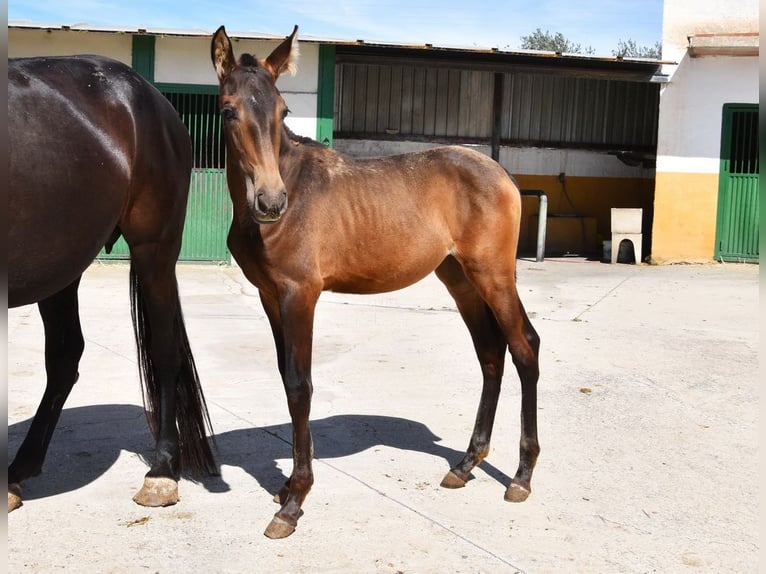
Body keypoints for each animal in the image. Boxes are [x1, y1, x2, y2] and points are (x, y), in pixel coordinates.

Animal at [8, 56, 219, 516]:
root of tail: (149, 94)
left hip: (154, 248)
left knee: (163, 348)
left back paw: (161, 473)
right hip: (61, 265)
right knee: (65, 356)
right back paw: (18, 470)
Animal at [213, 25, 544, 540]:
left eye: (283, 111)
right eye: (229, 110)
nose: (271, 202)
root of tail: (501, 173)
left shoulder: (299, 295)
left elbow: (300, 386)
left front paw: (295, 501)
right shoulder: (271, 298)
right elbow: (287, 380)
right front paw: (287, 488)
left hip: (492, 275)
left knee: (524, 347)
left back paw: (521, 476)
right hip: (460, 279)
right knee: (491, 355)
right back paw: (466, 465)